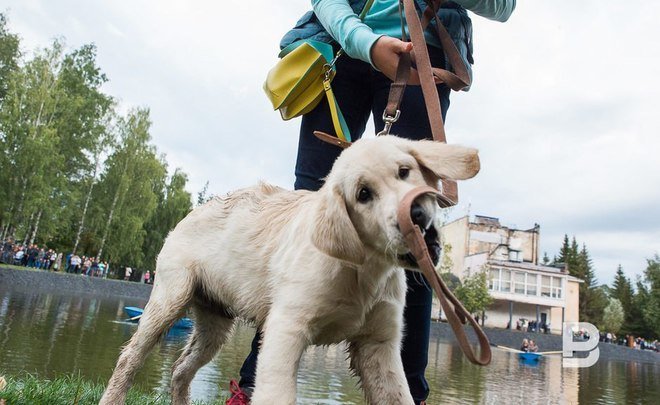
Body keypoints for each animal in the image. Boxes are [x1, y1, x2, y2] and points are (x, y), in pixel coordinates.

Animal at [99, 136, 480, 404]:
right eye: (363, 194)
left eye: (404, 171)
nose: (415, 214)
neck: (364, 273)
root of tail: (194, 209)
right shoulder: (285, 331)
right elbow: (275, 394)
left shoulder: (379, 345)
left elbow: (399, 397)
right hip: (169, 299)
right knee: (129, 358)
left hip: (215, 322)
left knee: (180, 370)